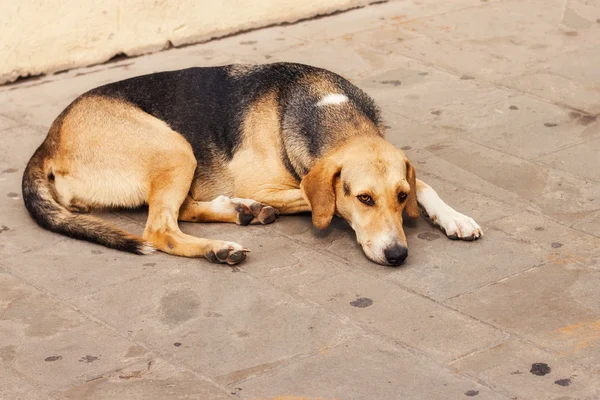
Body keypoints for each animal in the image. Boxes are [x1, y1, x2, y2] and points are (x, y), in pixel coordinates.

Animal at [22, 63, 482, 266]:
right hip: (176, 147)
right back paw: (221, 246)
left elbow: (425, 186)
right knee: (159, 228)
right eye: (364, 198)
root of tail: (49, 139)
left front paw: (454, 217)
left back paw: (239, 213)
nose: (398, 255)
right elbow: (323, 201)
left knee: (182, 210)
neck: (325, 106)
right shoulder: (275, 186)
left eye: (399, 196)